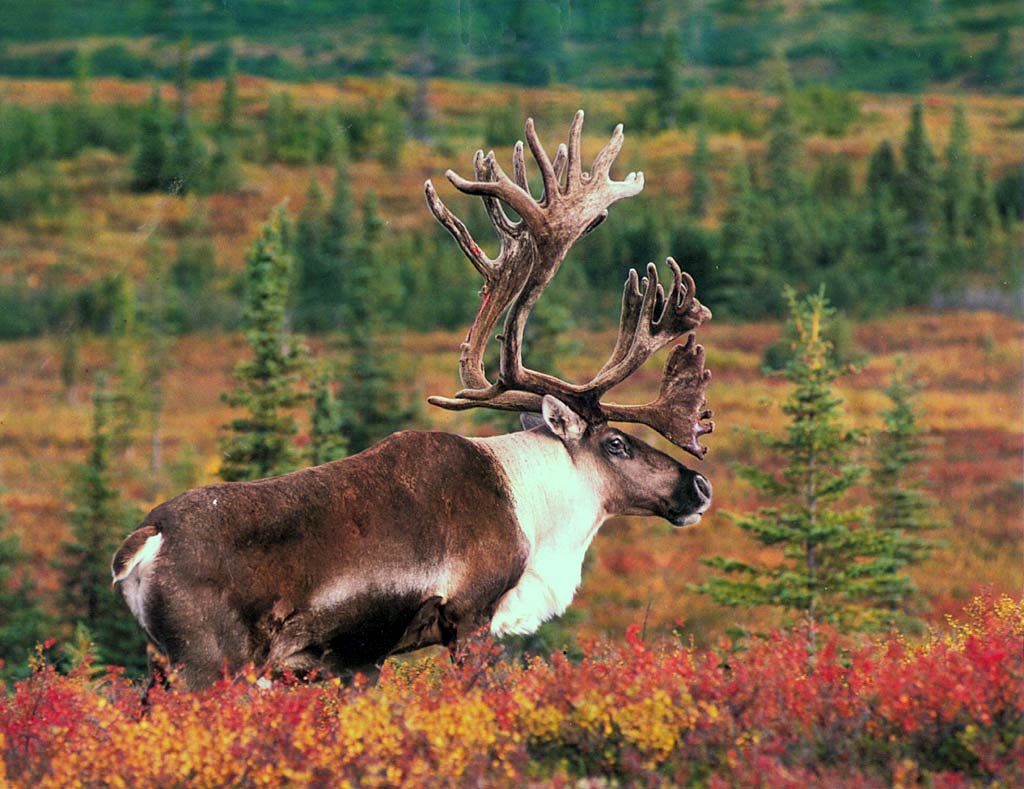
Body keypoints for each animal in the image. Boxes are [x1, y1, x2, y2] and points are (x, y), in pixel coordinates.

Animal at [112, 111, 714, 690]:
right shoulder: (469, 616)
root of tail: (145, 540)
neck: (534, 508)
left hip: (162, 664)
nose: (699, 486)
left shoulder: (360, 657)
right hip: (208, 663)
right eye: (616, 443)